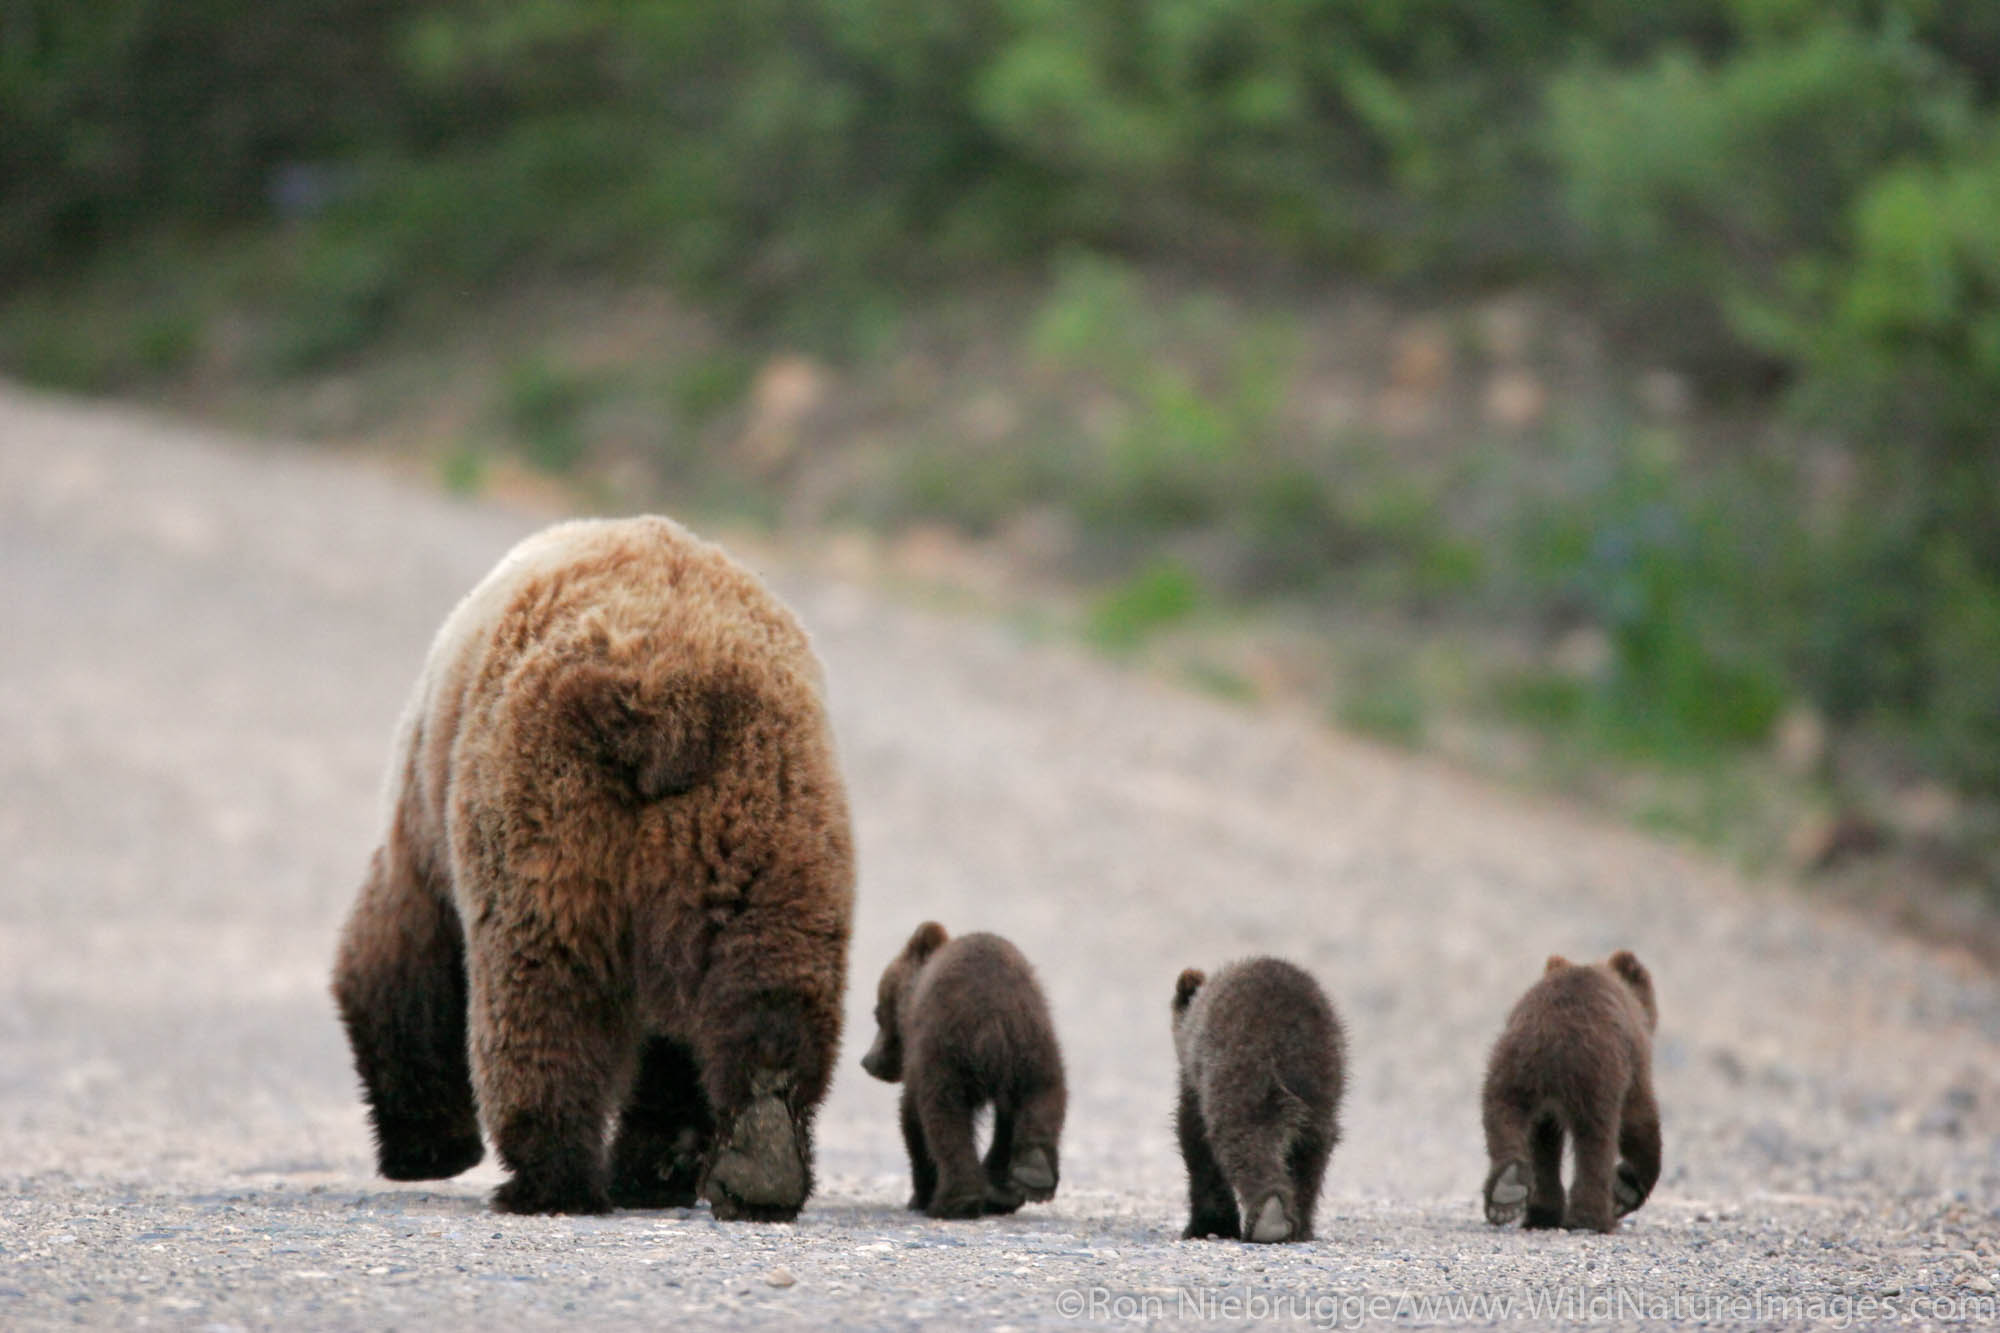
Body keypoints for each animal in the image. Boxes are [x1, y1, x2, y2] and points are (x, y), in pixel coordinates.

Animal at [326, 516, 852, 1216]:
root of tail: (669, 695)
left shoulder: (426, 819)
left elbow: (398, 958)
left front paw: (426, 1145)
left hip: (546, 806)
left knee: (545, 986)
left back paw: (548, 1177)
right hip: (767, 817)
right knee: (768, 977)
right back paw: (761, 1160)